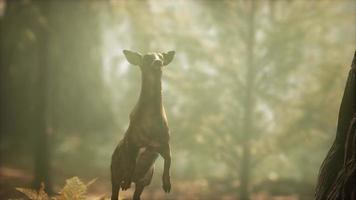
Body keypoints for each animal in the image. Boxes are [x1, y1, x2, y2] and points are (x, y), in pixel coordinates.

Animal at [110, 49, 174, 200]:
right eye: (146, 58)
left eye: (161, 56)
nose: (158, 62)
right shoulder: (132, 140)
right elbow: (131, 161)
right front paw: (126, 182)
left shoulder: (165, 142)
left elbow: (169, 160)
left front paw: (167, 185)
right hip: (114, 173)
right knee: (114, 192)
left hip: (144, 181)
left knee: (137, 195)